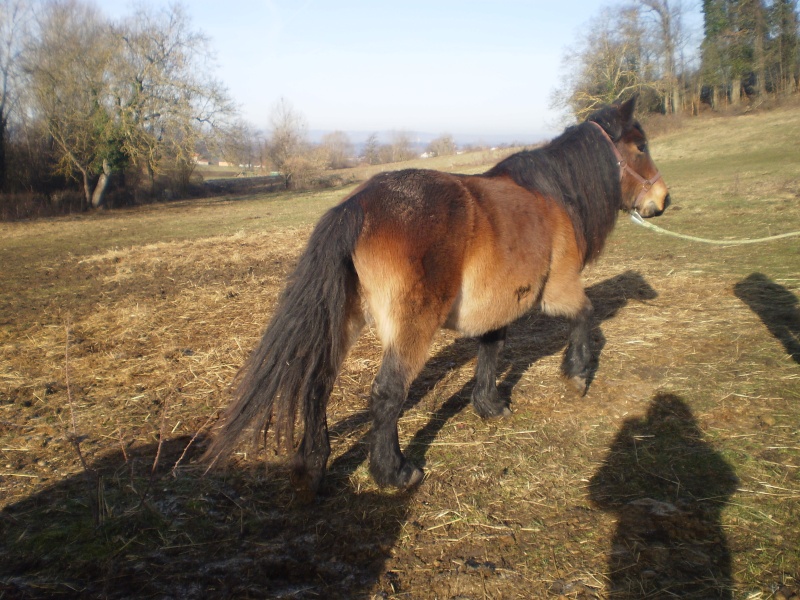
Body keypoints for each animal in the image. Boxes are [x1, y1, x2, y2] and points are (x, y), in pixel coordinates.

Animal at [203, 96, 672, 494]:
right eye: (640, 146)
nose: (663, 199)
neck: (552, 195)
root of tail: (357, 207)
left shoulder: (497, 303)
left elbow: (491, 347)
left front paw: (488, 404)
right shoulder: (558, 287)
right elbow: (585, 315)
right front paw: (576, 373)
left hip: (346, 319)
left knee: (318, 384)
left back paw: (313, 466)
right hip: (411, 326)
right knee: (387, 393)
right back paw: (394, 472)